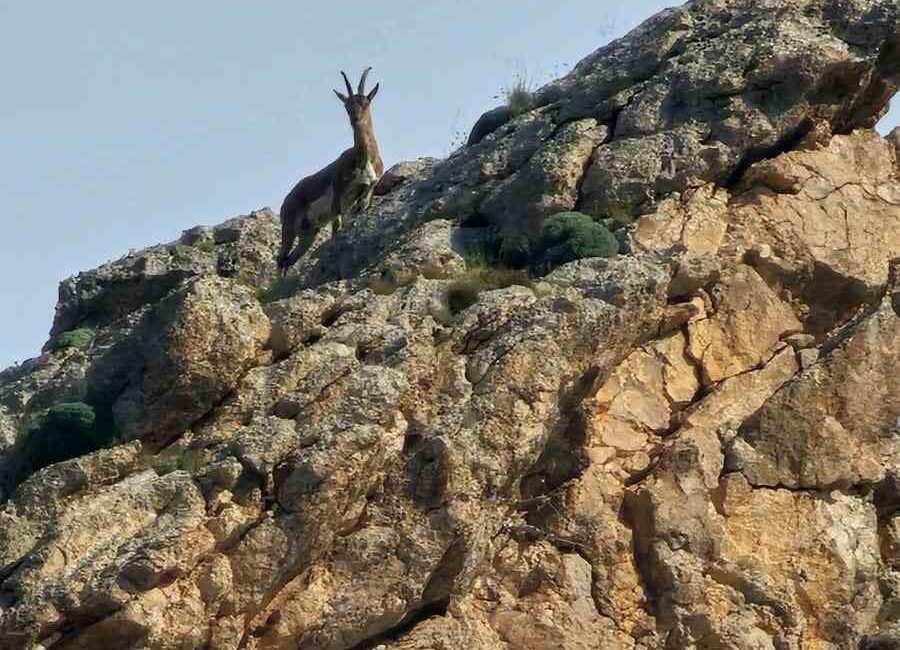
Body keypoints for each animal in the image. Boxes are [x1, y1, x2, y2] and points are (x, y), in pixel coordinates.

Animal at [278, 67, 384, 274]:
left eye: (365, 103)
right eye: (346, 105)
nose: (355, 119)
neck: (364, 158)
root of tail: (286, 201)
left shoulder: (367, 191)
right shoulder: (338, 194)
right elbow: (337, 228)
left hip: (308, 233)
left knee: (289, 260)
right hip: (289, 228)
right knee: (281, 259)